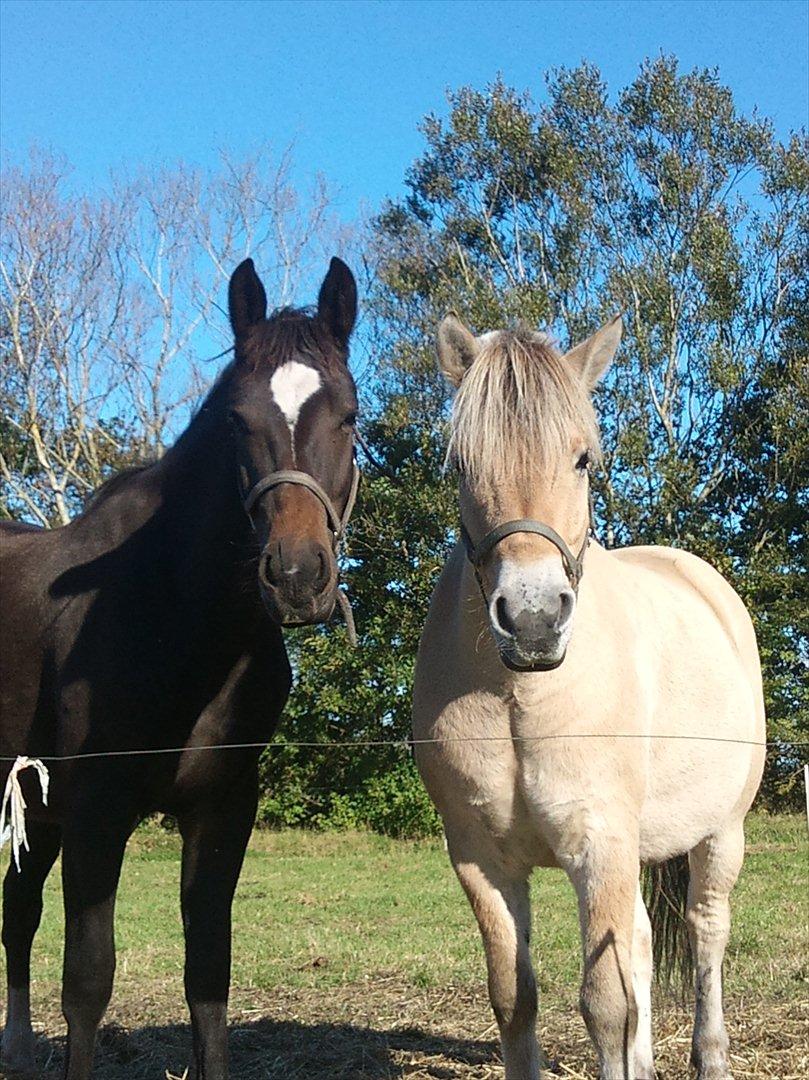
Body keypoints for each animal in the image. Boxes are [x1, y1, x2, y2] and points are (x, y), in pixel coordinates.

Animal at [0, 257, 360, 1075]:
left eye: (350, 416)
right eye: (235, 420)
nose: (297, 578)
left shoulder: (222, 810)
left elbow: (209, 975)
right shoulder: (97, 814)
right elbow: (88, 982)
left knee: (16, 910)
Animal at [412, 315, 769, 1080]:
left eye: (581, 460)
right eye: (460, 467)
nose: (533, 619)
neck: (519, 692)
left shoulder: (599, 843)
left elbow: (605, 1003)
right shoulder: (481, 860)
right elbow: (514, 997)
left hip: (719, 835)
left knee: (705, 933)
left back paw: (710, 1056)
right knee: (640, 944)